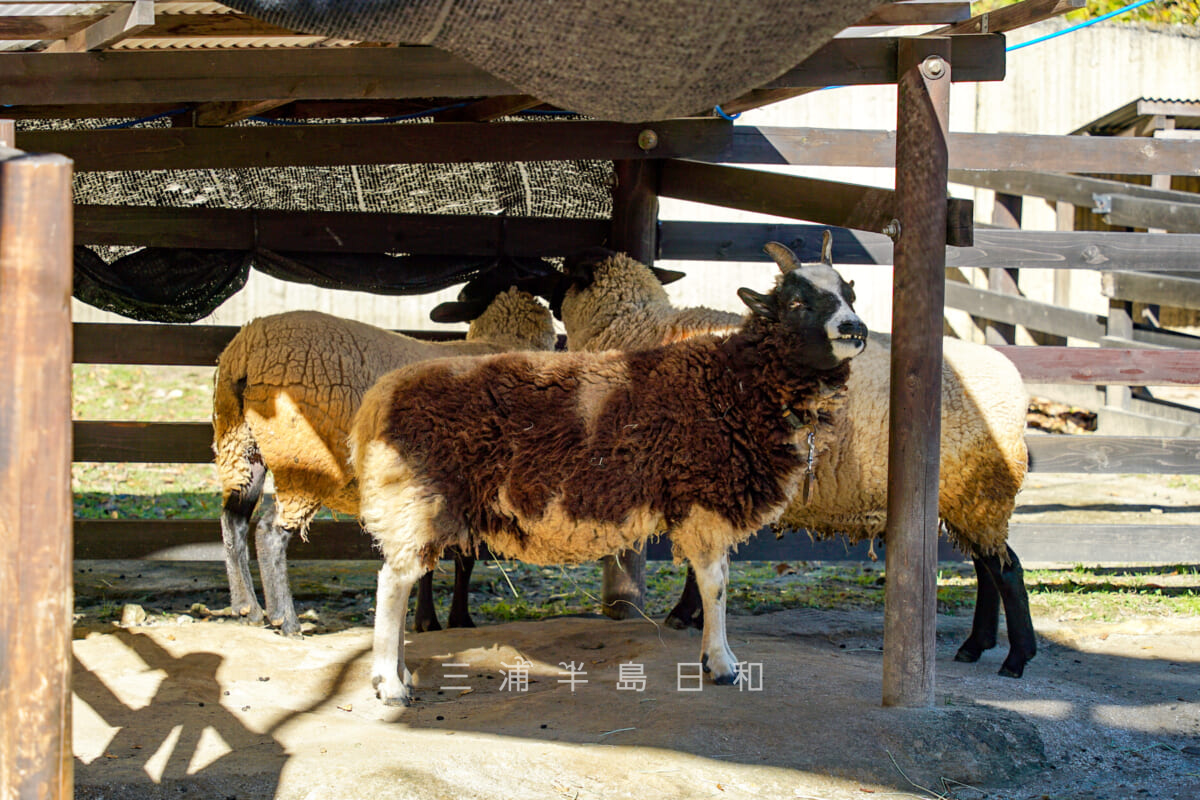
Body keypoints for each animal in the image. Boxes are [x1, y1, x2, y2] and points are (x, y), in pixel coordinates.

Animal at [211, 268, 556, 638]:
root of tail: (247, 351)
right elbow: (465, 558)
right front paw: (456, 620)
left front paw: (427, 621)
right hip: (304, 456)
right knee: (269, 532)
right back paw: (286, 621)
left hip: (240, 445)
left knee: (233, 520)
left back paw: (246, 609)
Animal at [350, 239, 868, 705]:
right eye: (797, 302)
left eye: (850, 292)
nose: (855, 328)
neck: (733, 382)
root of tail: (379, 398)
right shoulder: (702, 494)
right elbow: (715, 582)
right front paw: (721, 664)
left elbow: (717, 579)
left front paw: (716, 657)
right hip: (418, 497)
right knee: (394, 581)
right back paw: (390, 685)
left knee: (400, 575)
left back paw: (400, 673)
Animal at [556, 241, 1036, 681]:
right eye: (797, 302)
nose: (854, 327)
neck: (641, 332)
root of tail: (1016, 384)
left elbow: (703, 564)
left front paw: (686, 616)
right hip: (970, 497)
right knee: (988, 566)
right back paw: (976, 645)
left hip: (981, 492)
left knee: (1008, 570)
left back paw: (1016, 658)